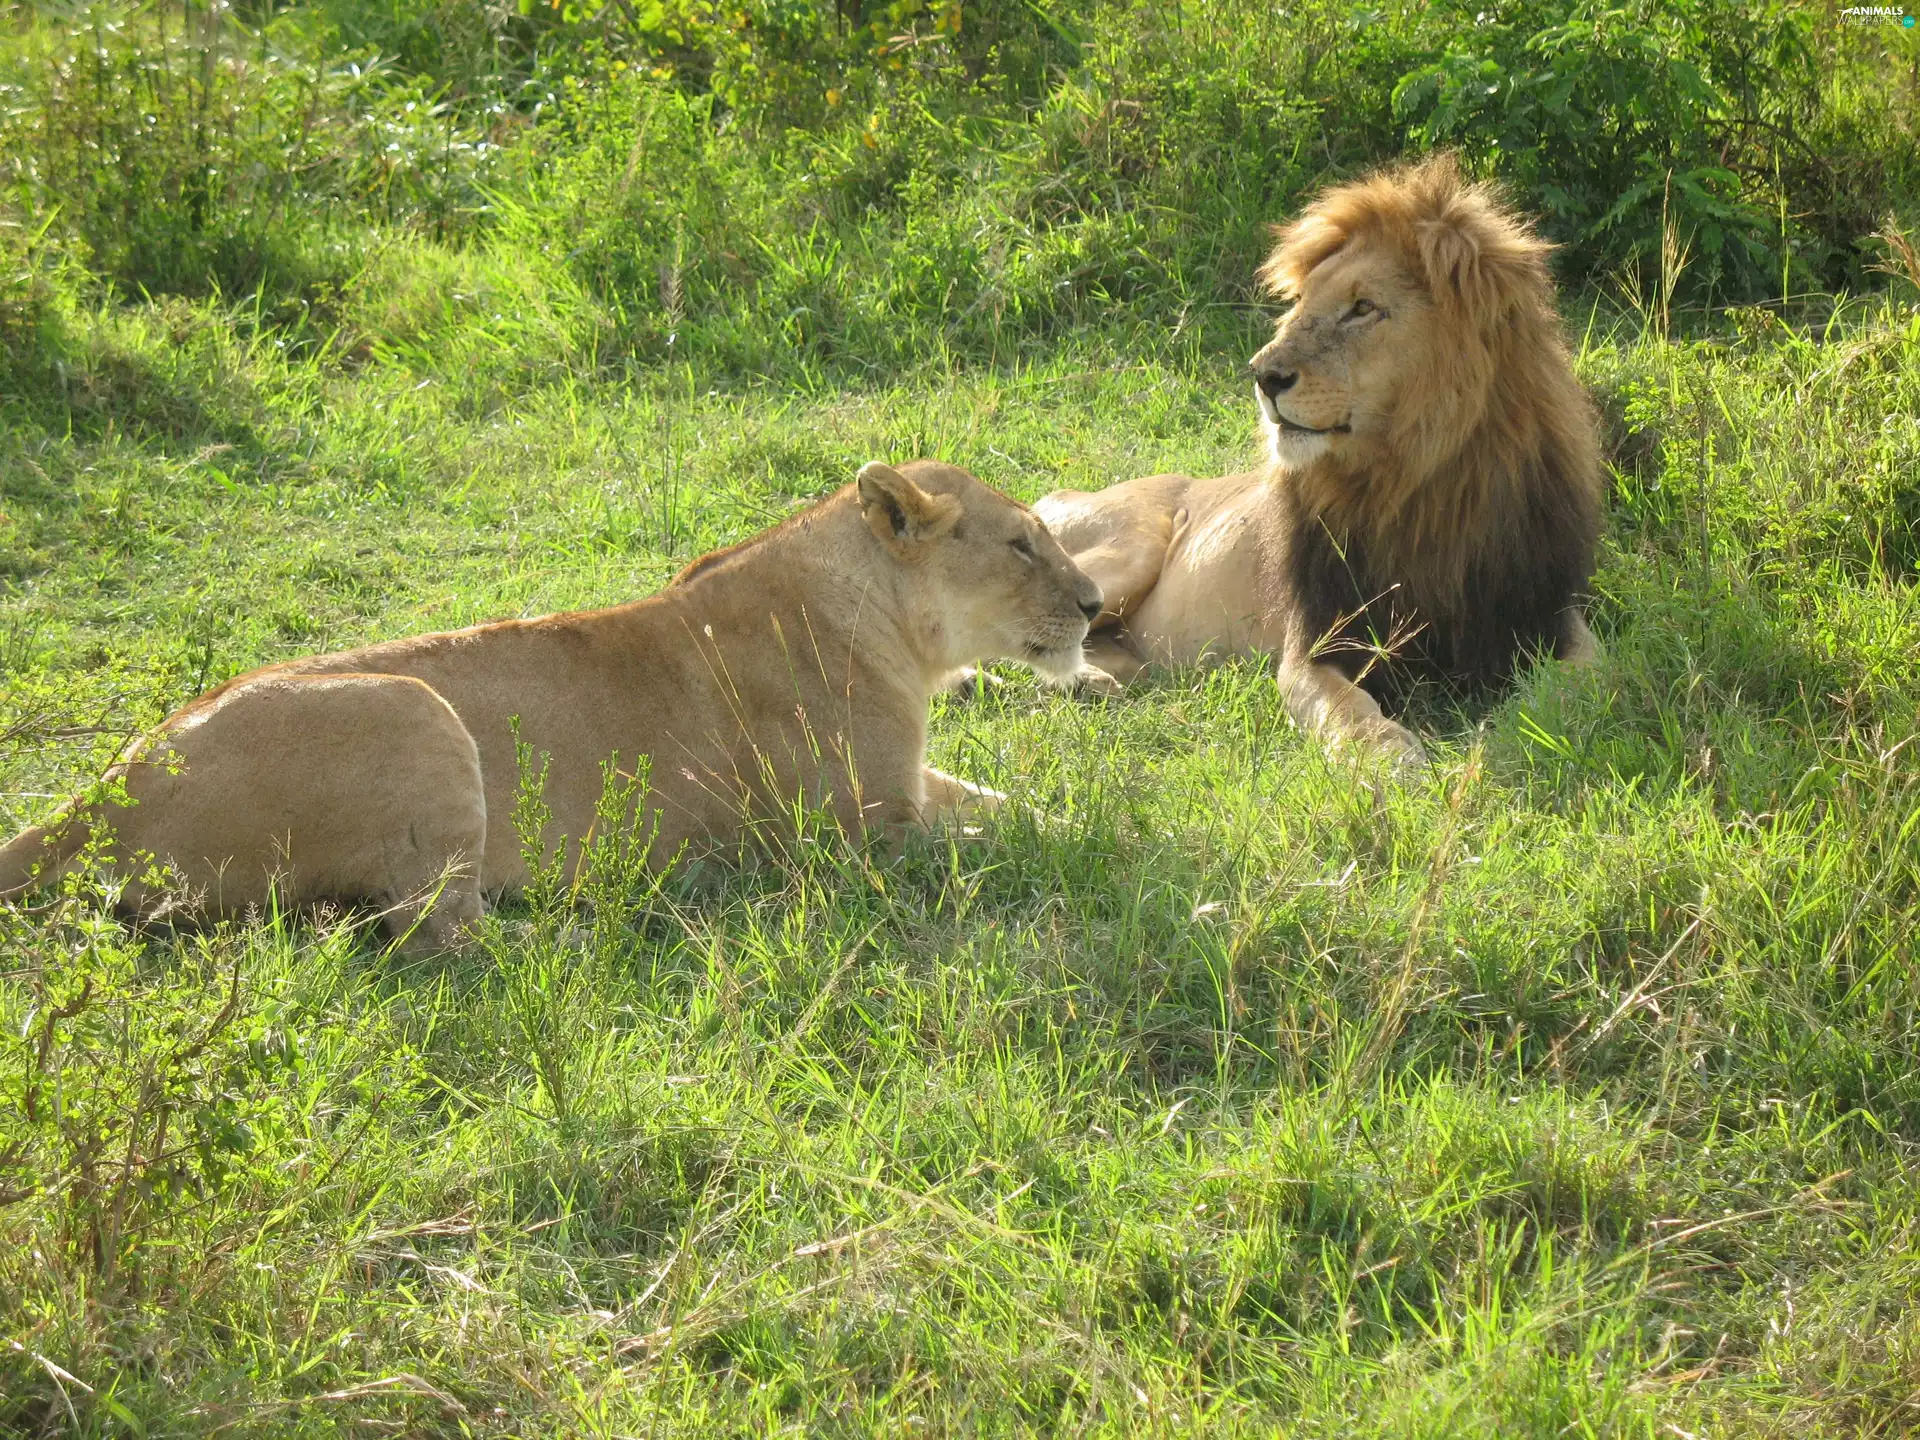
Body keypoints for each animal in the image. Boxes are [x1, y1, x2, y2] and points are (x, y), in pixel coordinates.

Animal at [0, 460, 1104, 951]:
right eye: (1020, 544)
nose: (1097, 605)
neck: (896, 629)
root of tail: (104, 784)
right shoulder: (863, 835)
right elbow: (1006, 844)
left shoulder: (911, 785)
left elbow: (1015, 810)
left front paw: (1073, 821)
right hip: (414, 710)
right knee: (437, 928)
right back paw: (611, 926)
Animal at [1035, 154, 1603, 763]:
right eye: (1301, 304)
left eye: (1362, 308)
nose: (1262, 375)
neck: (1418, 483)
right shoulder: (1316, 644)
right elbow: (1353, 717)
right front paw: (1397, 767)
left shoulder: (1545, 613)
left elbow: (1580, 684)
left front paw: (1510, 736)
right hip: (1126, 551)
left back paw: (1094, 680)